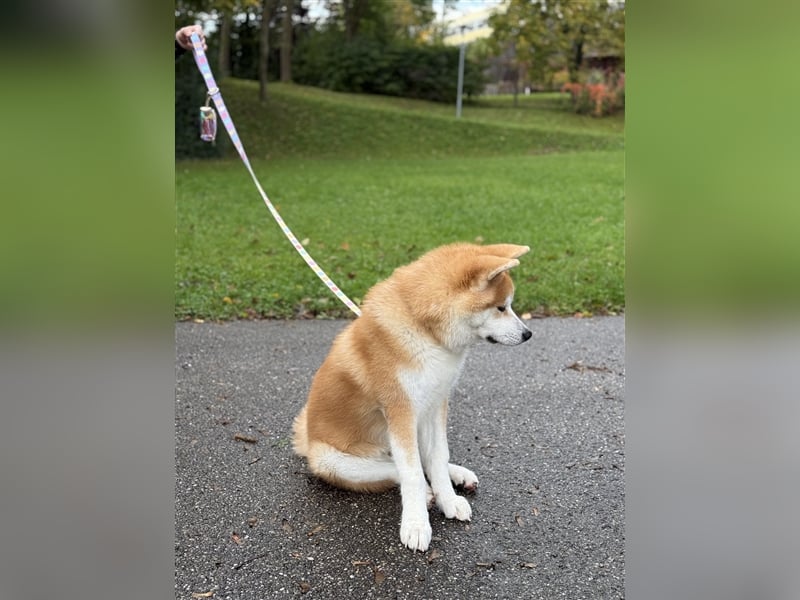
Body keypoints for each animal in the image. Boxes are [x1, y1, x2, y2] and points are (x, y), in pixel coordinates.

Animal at [294, 241, 532, 552]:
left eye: (509, 305)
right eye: (501, 307)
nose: (528, 334)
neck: (425, 331)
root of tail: (307, 440)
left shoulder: (435, 405)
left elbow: (438, 457)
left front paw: (448, 499)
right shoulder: (401, 412)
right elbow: (412, 473)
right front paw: (417, 524)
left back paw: (458, 475)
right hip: (332, 460)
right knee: (394, 468)